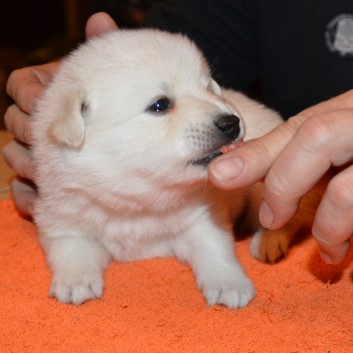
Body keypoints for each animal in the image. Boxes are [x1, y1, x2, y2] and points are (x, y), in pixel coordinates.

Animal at [31, 28, 288, 306]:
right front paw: (75, 282)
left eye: (208, 88)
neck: (137, 199)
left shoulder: (204, 216)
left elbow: (215, 247)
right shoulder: (60, 218)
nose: (232, 122)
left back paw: (269, 240)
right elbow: (71, 247)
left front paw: (230, 284)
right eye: (160, 105)